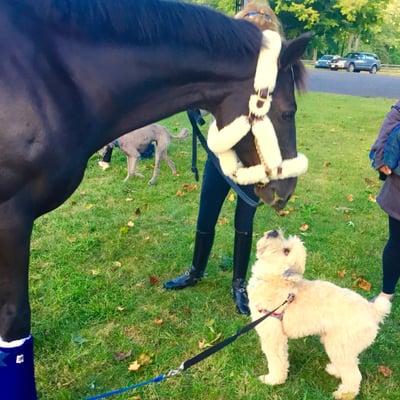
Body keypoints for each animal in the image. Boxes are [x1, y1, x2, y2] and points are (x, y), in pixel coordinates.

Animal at [247, 230, 390, 398]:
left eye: (286, 251)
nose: (274, 232)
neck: (274, 280)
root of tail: (373, 310)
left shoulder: (274, 337)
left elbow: (277, 361)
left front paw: (273, 380)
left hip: (340, 345)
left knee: (354, 375)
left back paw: (344, 394)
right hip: (341, 345)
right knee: (352, 363)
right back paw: (334, 370)